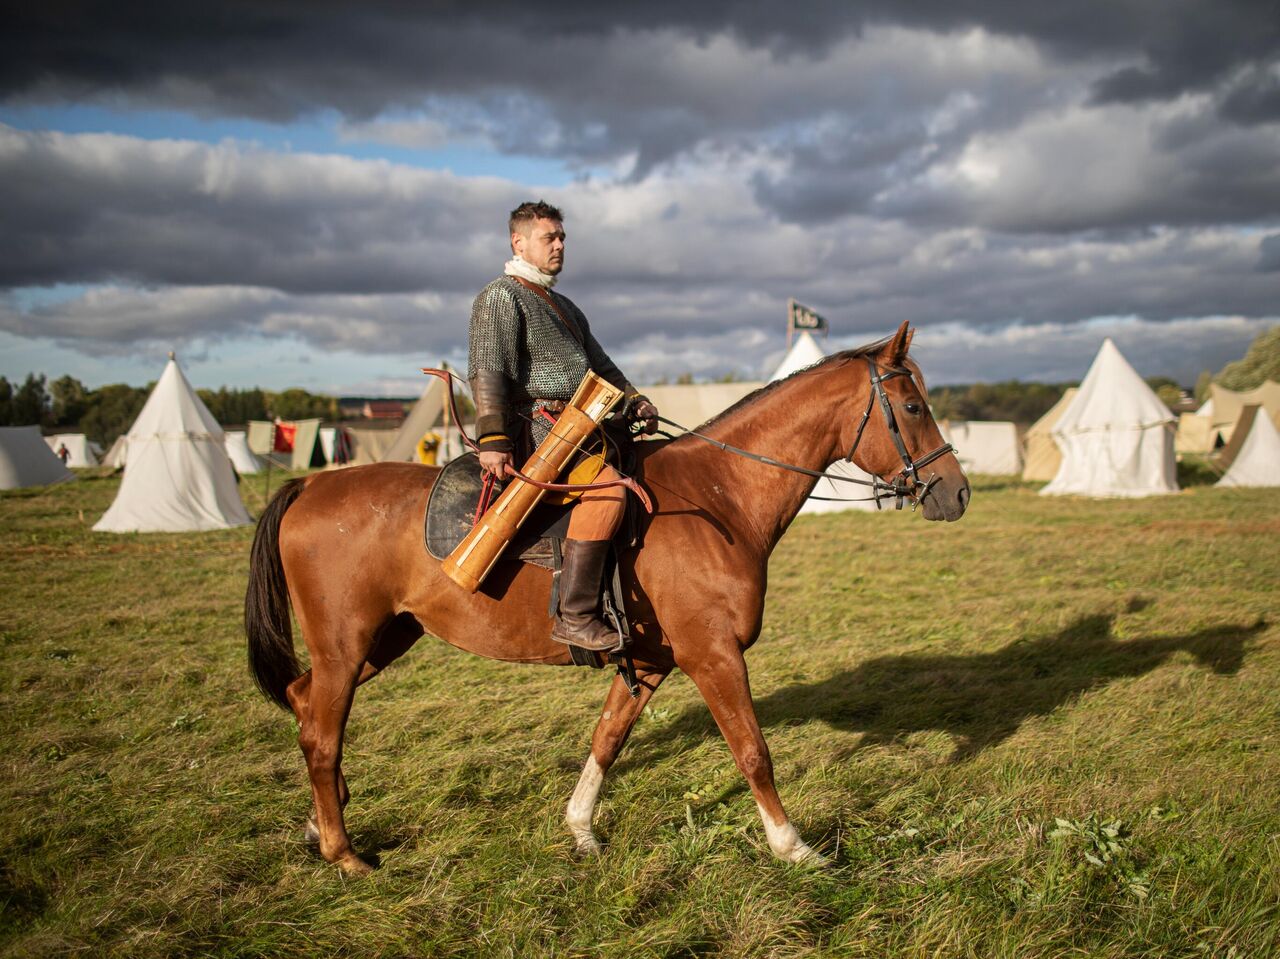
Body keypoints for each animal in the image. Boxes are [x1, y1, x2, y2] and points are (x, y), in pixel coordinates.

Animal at [247, 317, 967, 870]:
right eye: (912, 407)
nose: (955, 493)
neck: (720, 495)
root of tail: (309, 487)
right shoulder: (713, 657)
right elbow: (753, 752)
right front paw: (794, 847)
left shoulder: (649, 662)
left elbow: (607, 737)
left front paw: (580, 828)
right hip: (347, 646)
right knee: (322, 734)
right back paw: (344, 852)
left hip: (383, 638)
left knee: (305, 705)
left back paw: (321, 821)